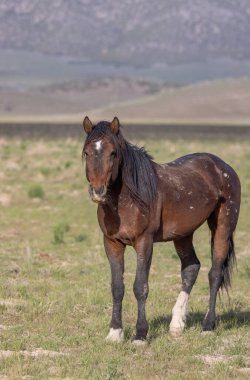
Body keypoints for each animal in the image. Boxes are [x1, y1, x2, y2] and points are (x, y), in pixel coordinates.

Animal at [82, 116, 240, 344]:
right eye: (86, 152)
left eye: (113, 153)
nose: (98, 191)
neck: (128, 199)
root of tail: (223, 166)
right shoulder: (112, 243)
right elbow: (117, 287)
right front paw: (115, 333)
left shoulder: (144, 242)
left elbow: (140, 286)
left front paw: (140, 334)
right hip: (183, 235)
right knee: (191, 268)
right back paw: (176, 325)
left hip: (222, 227)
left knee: (215, 274)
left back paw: (208, 326)